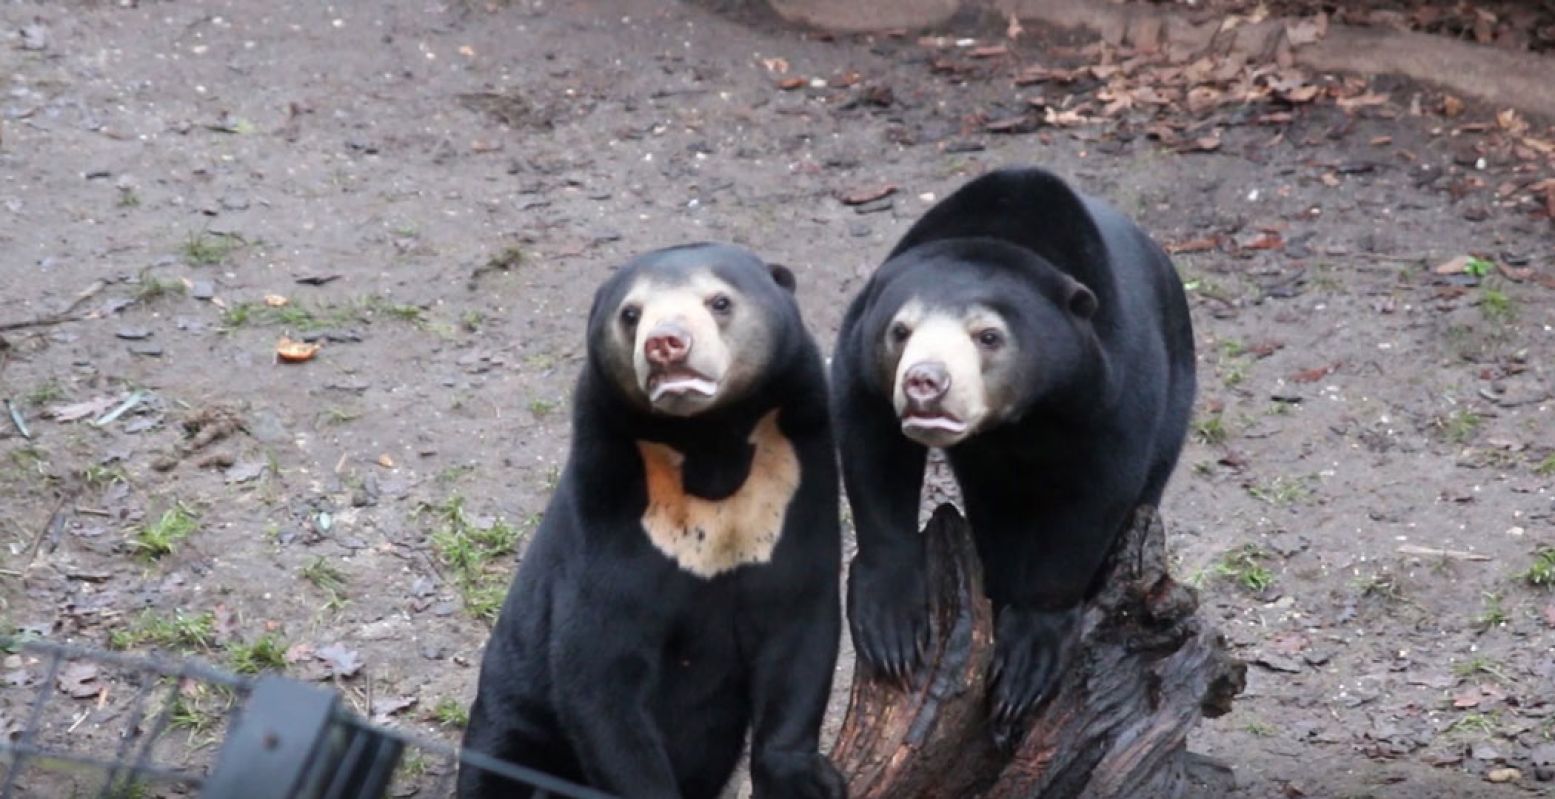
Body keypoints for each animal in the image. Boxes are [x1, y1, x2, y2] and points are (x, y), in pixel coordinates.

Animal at [457, 240, 845, 795]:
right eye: (631, 314)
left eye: (719, 302)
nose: (666, 343)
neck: (708, 445)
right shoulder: (609, 518)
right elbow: (598, 667)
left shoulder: (794, 493)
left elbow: (798, 630)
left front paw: (806, 779)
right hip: (512, 709)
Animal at [833, 164, 1194, 743]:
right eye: (900, 331)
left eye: (988, 336)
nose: (924, 382)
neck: (1015, 420)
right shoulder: (860, 368)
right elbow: (873, 453)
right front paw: (892, 632)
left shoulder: (1110, 382)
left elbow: (1096, 495)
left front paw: (1026, 665)